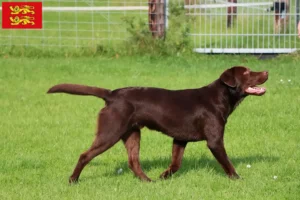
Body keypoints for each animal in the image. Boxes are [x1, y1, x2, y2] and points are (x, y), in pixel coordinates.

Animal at [48, 66, 268, 183]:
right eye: (247, 73)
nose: (266, 71)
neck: (221, 96)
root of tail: (111, 94)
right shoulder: (214, 141)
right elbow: (227, 163)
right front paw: (238, 179)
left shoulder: (180, 139)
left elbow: (176, 164)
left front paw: (163, 177)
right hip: (110, 133)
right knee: (84, 155)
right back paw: (73, 180)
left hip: (132, 133)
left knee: (133, 161)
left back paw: (148, 181)